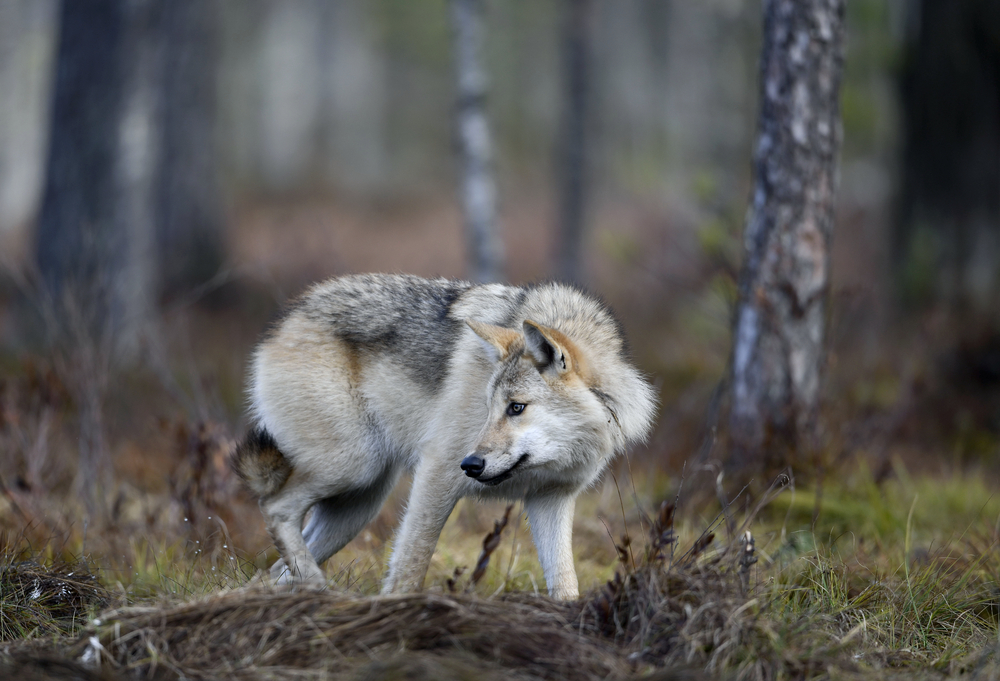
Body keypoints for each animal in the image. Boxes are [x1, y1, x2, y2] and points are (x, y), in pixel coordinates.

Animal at [231, 274, 660, 596]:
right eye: (491, 407)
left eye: (515, 407)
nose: (471, 463)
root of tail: (288, 316)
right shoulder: (437, 473)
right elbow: (410, 564)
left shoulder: (551, 499)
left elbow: (565, 583)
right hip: (353, 468)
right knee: (275, 508)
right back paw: (319, 590)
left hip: (359, 503)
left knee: (276, 567)